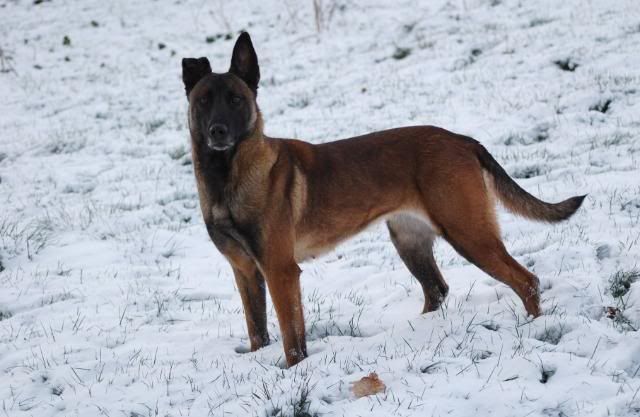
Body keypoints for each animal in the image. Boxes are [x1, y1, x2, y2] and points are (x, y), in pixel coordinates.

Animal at [180, 32, 584, 366]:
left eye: (236, 100)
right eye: (203, 101)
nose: (218, 132)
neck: (226, 177)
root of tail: (462, 140)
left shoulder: (280, 272)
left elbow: (292, 340)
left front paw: (294, 372)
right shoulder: (246, 272)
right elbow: (257, 331)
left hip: (469, 234)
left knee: (526, 280)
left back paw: (533, 328)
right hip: (410, 241)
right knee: (437, 290)